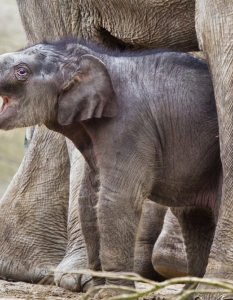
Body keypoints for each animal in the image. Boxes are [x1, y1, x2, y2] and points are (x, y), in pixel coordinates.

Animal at [0, 40, 220, 300]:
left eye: (22, 71)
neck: (98, 59)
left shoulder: (129, 126)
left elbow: (116, 200)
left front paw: (112, 294)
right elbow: (88, 200)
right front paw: (97, 291)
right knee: (195, 219)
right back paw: (191, 292)